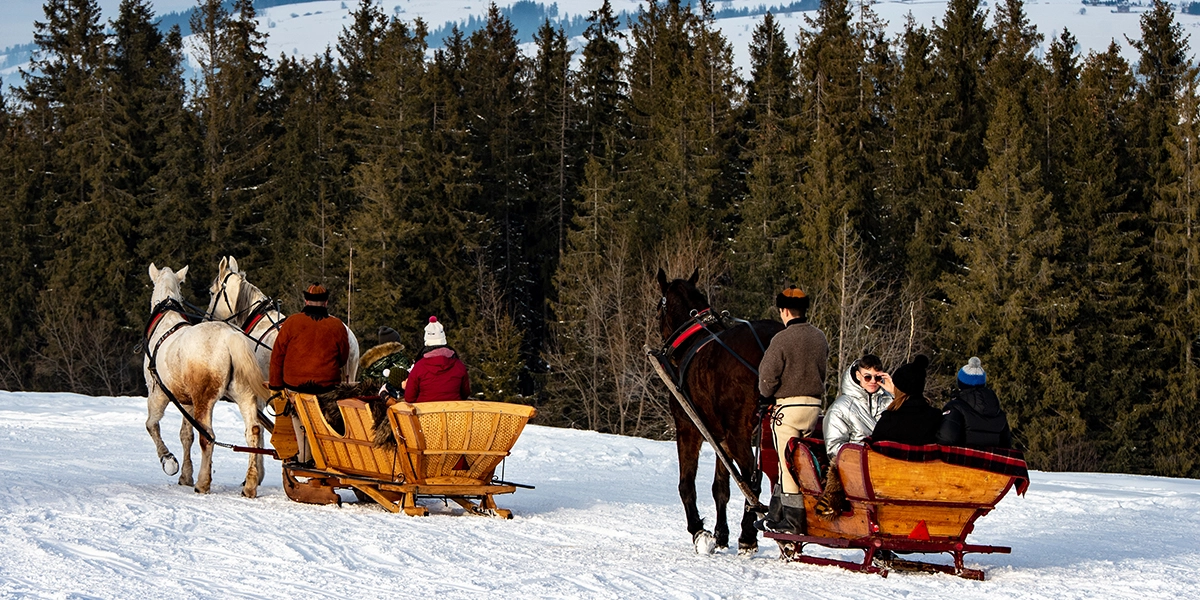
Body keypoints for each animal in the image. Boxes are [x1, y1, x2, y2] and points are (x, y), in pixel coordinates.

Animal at [144, 264, 271, 496]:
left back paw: (203, 482)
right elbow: (186, 435)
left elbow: (152, 425)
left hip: (205, 399)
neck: (166, 320)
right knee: (254, 432)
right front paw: (185, 475)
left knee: (208, 436)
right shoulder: (186, 400)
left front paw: (169, 461)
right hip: (244, 395)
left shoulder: (158, 392)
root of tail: (230, 338)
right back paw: (250, 485)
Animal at [657, 270, 787, 554]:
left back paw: (749, 534)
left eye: (660, 305)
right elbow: (721, 488)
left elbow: (686, 483)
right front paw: (720, 534)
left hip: (740, 433)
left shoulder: (689, 427)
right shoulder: (721, 438)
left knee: (753, 479)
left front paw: (699, 531)